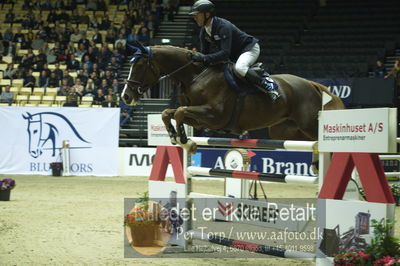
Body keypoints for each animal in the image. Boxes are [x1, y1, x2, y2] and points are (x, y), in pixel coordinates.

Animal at [122, 43, 344, 152]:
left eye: (139, 65)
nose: (125, 96)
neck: (195, 77)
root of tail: (311, 84)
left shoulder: (214, 115)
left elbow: (179, 112)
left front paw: (183, 137)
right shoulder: (201, 119)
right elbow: (169, 112)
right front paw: (174, 135)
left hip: (309, 125)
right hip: (285, 131)